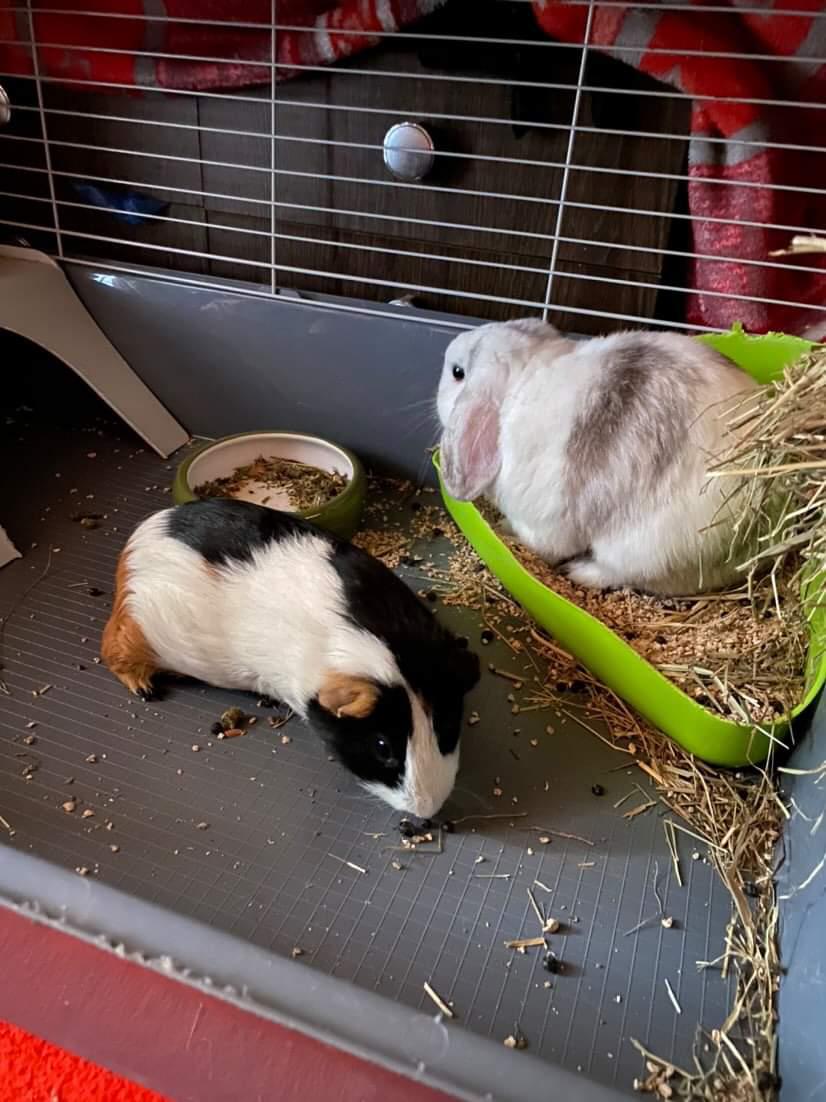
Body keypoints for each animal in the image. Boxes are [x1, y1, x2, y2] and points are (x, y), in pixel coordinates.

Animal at [101, 498, 480, 820]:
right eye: (383, 746)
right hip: (137, 635)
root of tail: (139, 542)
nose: (427, 809)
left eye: (446, 724)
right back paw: (146, 689)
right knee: (112, 651)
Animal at [437, 318, 761, 596]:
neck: (522, 381)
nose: (450, 344)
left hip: (643, 550)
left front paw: (504, 529)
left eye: (457, 372)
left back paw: (579, 571)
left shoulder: (541, 520)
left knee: (621, 573)